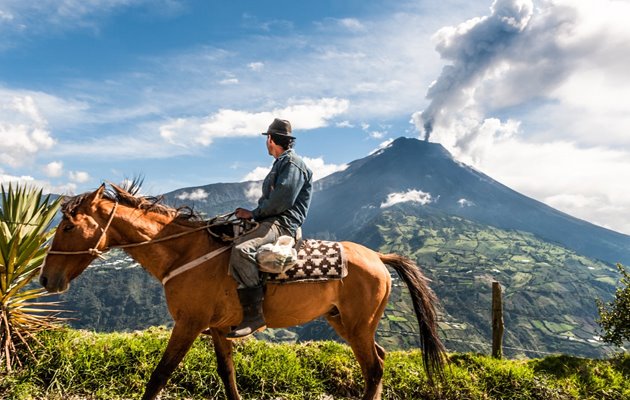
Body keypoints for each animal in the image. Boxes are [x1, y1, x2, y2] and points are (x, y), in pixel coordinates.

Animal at [39, 184, 446, 400]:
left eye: (69, 228)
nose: (45, 280)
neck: (186, 252)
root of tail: (378, 256)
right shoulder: (218, 329)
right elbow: (227, 374)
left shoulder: (189, 324)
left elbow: (161, 373)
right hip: (344, 322)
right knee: (378, 360)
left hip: (358, 325)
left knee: (374, 367)